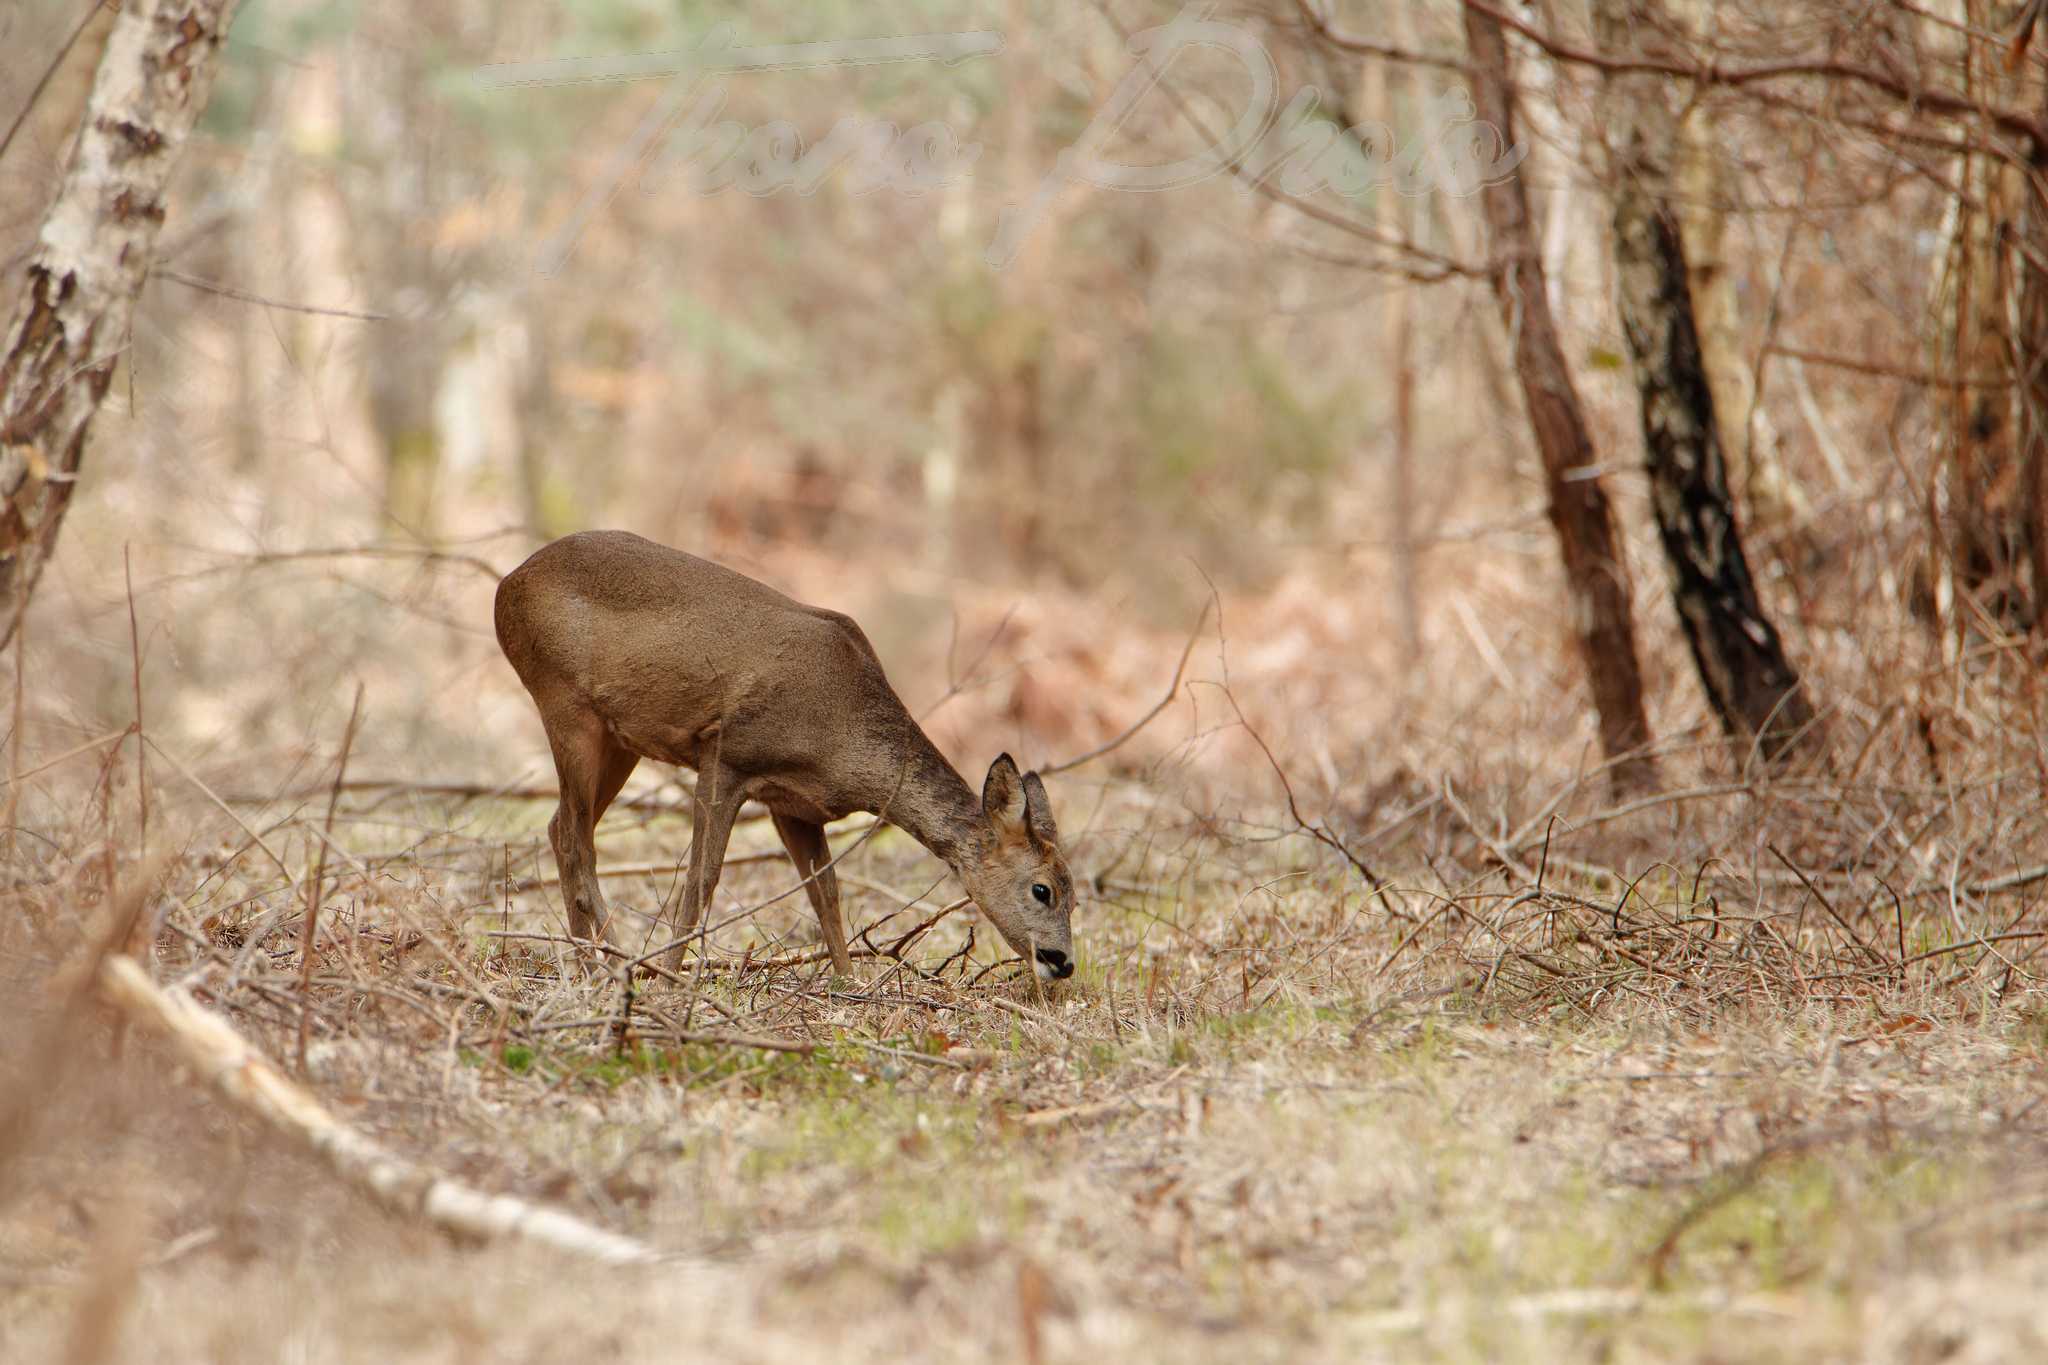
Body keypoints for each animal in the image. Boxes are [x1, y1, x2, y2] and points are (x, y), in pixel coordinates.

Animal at [493, 532, 1081, 982]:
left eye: (1075, 896)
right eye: (1043, 890)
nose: (1063, 962)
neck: (844, 732)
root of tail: (507, 584)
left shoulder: (795, 806)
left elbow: (826, 893)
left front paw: (848, 982)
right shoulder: (726, 754)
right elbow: (702, 880)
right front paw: (672, 978)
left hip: (619, 740)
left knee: (561, 827)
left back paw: (589, 963)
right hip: (565, 704)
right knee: (576, 840)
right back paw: (613, 964)